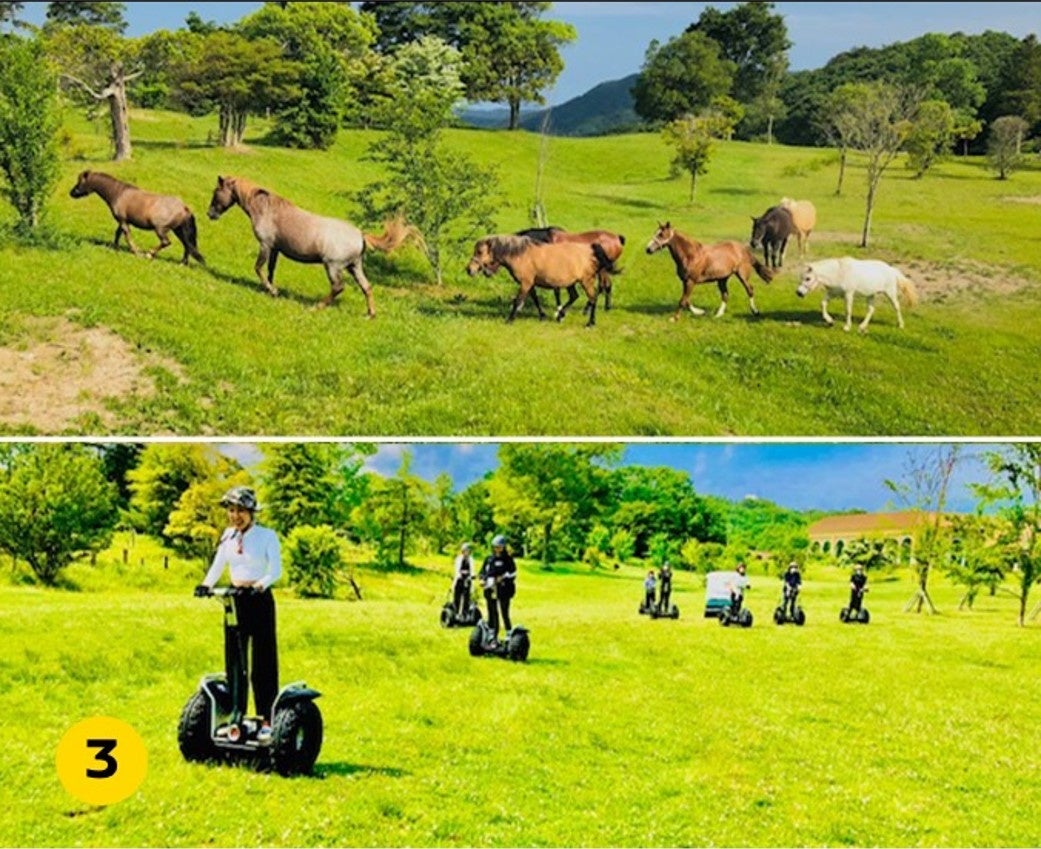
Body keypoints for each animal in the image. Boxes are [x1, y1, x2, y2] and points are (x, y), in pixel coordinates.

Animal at [69, 170, 204, 265]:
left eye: (80, 181)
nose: (71, 193)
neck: (118, 193)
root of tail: (184, 208)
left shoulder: (123, 221)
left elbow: (127, 237)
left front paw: (136, 252)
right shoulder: (123, 221)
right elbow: (118, 234)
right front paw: (115, 247)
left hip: (160, 229)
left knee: (166, 242)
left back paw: (149, 254)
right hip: (179, 230)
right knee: (187, 245)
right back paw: (182, 263)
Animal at [206, 175, 417, 315]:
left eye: (217, 191)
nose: (210, 214)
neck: (265, 209)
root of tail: (360, 235)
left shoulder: (265, 245)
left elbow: (258, 268)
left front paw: (272, 290)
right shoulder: (275, 249)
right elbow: (270, 270)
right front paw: (270, 290)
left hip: (333, 266)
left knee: (338, 287)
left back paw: (316, 306)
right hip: (354, 267)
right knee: (367, 287)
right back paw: (370, 314)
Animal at [466, 234, 616, 327]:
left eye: (479, 252)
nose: (469, 269)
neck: (521, 255)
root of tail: (590, 250)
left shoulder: (525, 283)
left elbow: (518, 301)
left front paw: (509, 320)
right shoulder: (530, 283)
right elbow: (535, 299)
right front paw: (542, 316)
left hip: (586, 281)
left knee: (593, 298)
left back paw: (590, 323)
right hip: (571, 283)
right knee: (574, 296)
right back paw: (560, 316)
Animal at [645, 222, 775, 321]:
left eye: (661, 235)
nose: (648, 249)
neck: (690, 255)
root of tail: (742, 249)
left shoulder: (691, 281)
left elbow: (683, 300)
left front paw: (674, 318)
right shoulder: (685, 281)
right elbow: (686, 300)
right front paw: (700, 312)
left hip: (742, 275)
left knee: (750, 290)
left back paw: (755, 311)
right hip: (722, 279)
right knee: (725, 295)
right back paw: (718, 315)